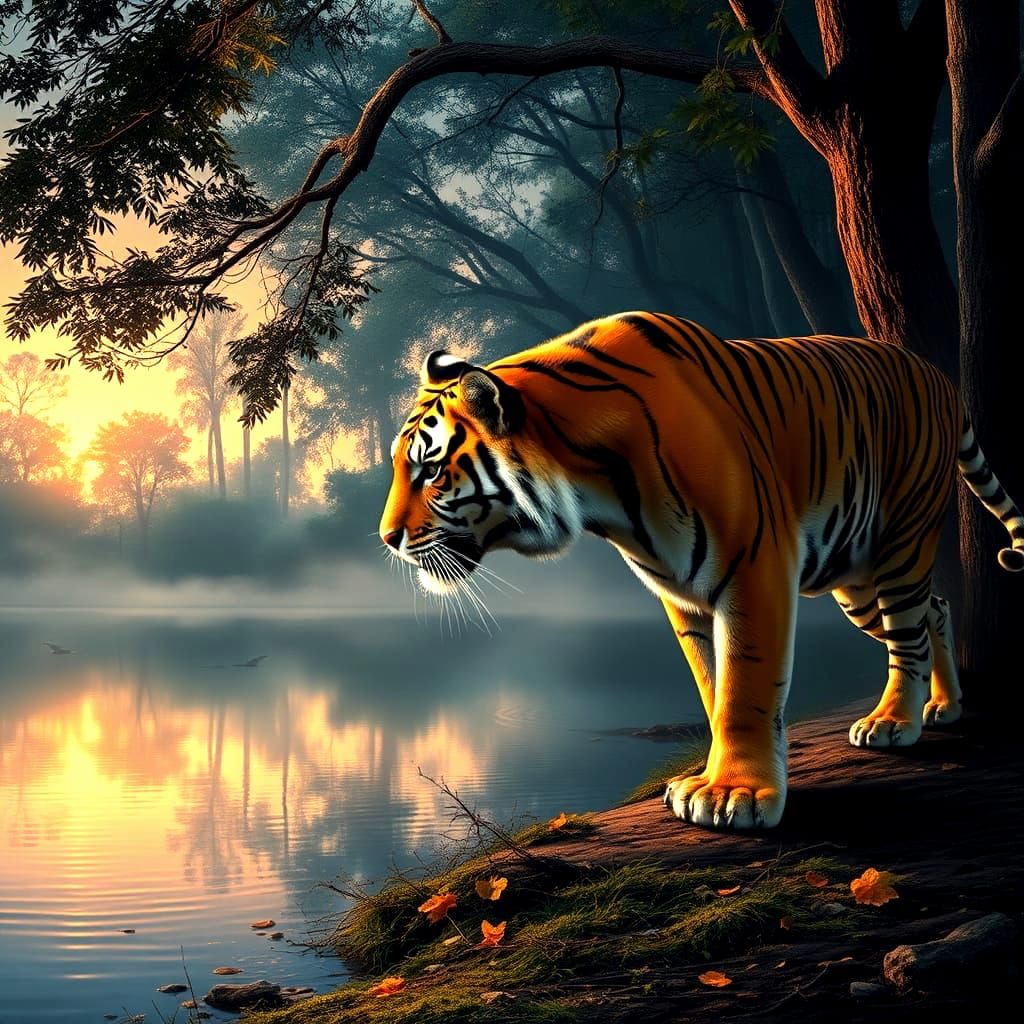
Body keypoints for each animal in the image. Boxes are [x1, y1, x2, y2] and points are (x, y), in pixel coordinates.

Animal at [378, 312, 1024, 830]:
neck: (597, 489)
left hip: (899, 543)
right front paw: (714, 778)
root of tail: (936, 374)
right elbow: (714, 684)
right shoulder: (682, 592)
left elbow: (747, 687)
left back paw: (896, 721)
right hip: (855, 575)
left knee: (908, 632)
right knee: (932, 609)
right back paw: (944, 705)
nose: (387, 539)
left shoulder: (756, 568)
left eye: (430, 470)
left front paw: (736, 794)